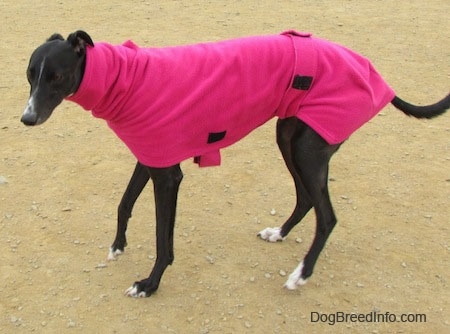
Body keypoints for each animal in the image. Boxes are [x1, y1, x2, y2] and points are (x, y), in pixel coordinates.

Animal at [22, 30, 448, 298]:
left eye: (56, 76)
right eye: (29, 75)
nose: (26, 119)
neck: (126, 78)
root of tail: (369, 67)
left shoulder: (168, 175)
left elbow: (163, 240)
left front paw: (150, 284)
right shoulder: (151, 157)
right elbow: (124, 203)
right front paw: (118, 246)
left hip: (308, 149)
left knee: (327, 216)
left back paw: (301, 274)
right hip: (290, 138)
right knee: (306, 200)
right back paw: (279, 233)